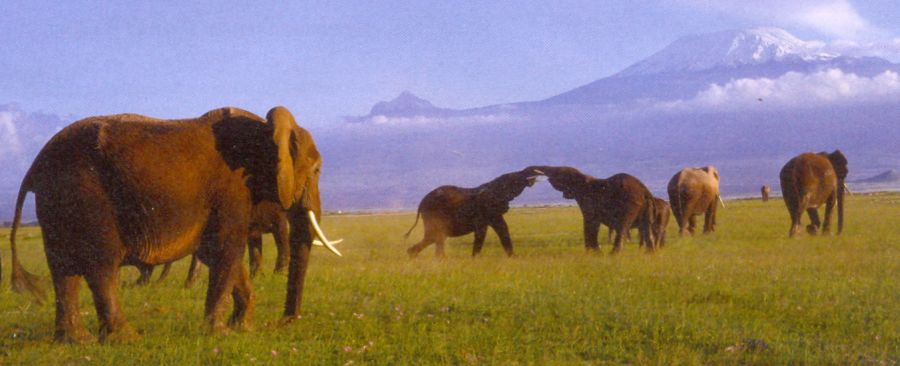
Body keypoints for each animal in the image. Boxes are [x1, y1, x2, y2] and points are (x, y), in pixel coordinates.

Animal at [7, 106, 342, 344]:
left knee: (63, 270)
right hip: (86, 195)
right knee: (100, 266)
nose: (285, 322)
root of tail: (35, 165)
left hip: (56, 202)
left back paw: (76, 341)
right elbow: (227, 251)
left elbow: (220, 254)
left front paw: (243, 328)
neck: (264, 128)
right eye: (316, 170)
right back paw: (125, 339)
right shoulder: (232, 190)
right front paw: (221, 333)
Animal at [406, 169, 540, 258]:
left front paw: (513, 258)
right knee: (435, 236)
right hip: (433, 213)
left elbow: (502, 228)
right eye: (515, 182)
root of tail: (421, 203)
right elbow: (482, 231)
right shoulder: (484, 209)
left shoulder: (494, 213)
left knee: (436, 237)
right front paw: (475, 259)